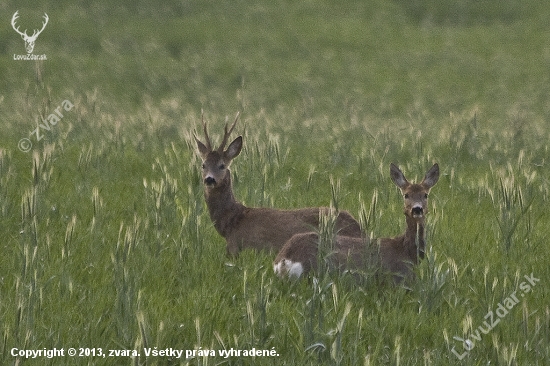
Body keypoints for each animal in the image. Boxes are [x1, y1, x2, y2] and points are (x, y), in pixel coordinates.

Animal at [196, 113, 364, 256]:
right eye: (203, 165)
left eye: (222, 165)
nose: (210, 179)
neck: (231, 221)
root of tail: (361, 229)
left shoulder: (236, 246)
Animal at [274, 163, 442, 284]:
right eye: (406, 195)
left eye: (425, 195)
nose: (417, 209)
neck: (407, 251)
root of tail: (283, 260)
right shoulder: (399, 277)